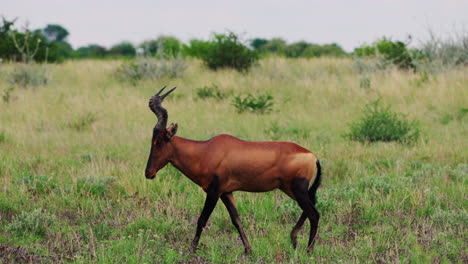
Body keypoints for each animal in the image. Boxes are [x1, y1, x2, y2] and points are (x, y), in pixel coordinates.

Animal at [145, 86, 322, 254]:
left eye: (158, 141)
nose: (148, 173)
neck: (206, 150)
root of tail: (313, 156)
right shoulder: (226, 193)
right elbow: (236, 220)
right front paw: (248, 250)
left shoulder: (214, 192)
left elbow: (202, 220)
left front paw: (191, 250)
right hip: (290, 189)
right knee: (311, 207)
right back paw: (294, 239)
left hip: (297, 188)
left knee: (314, 214)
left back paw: (309, 250)